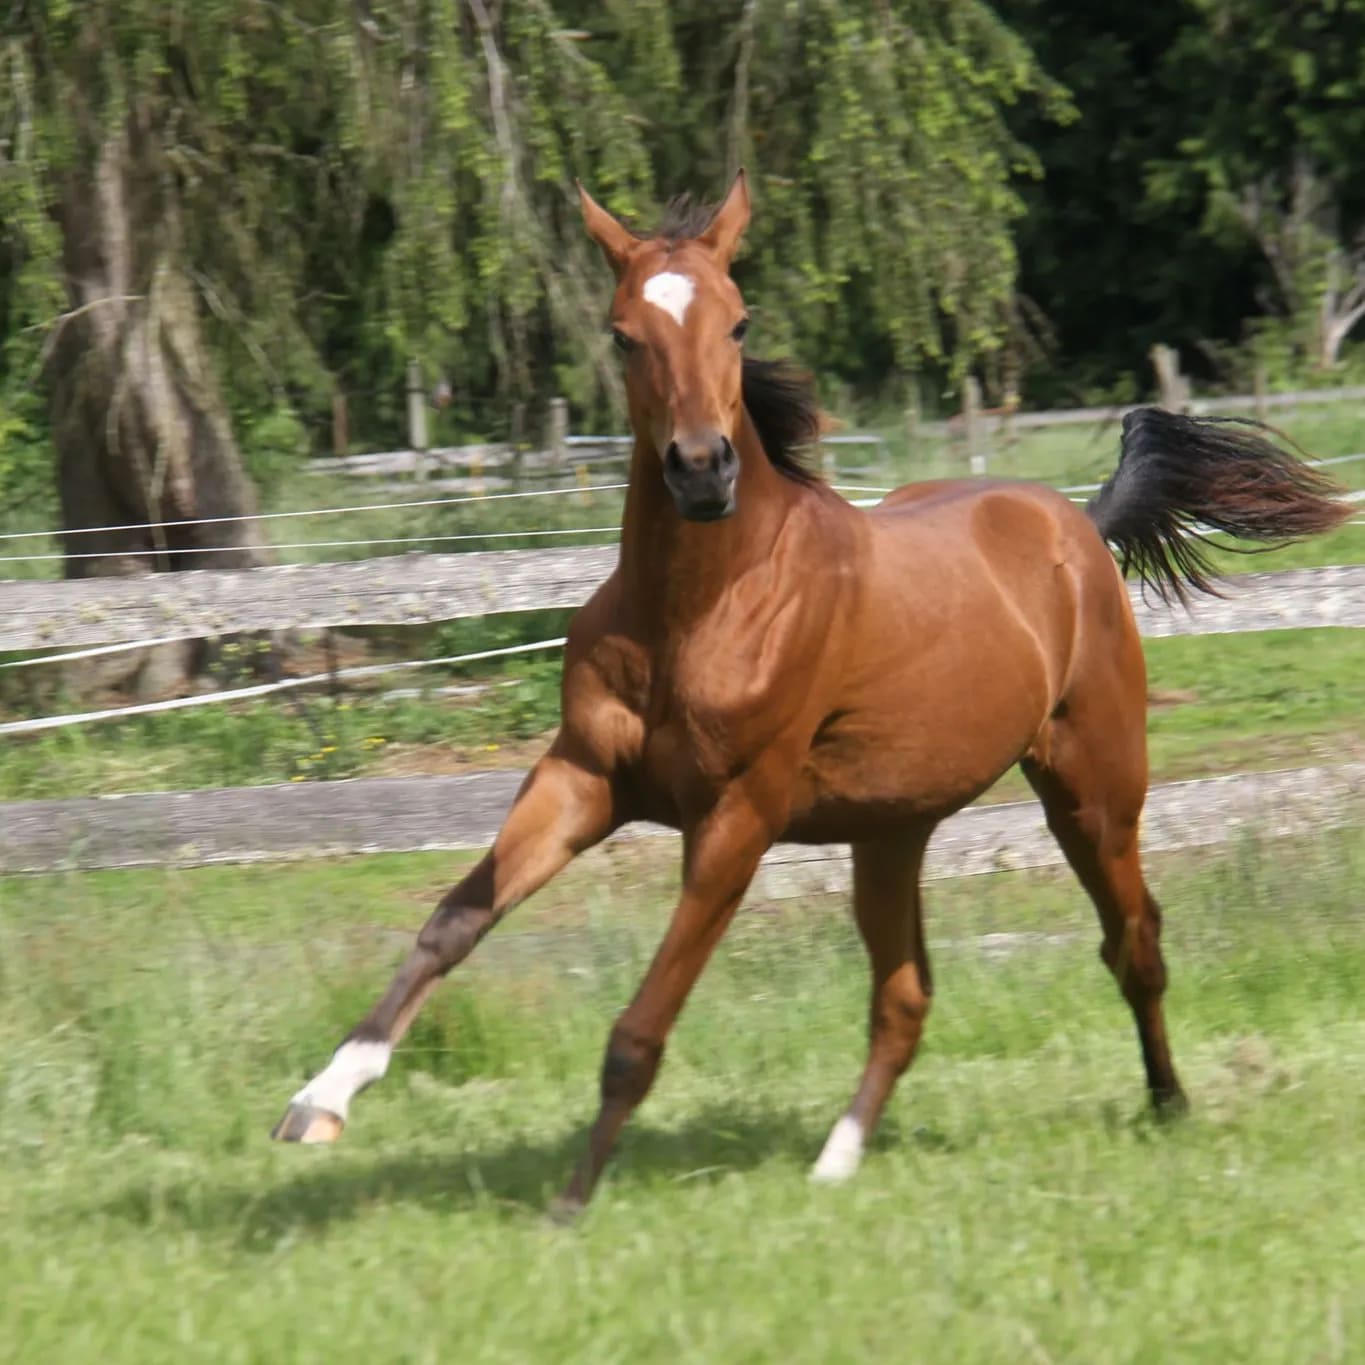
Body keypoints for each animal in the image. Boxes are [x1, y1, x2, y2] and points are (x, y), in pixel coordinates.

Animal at [272, 172, 1350, 1213]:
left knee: (1134, 941)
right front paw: (321, 1099)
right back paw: (835, 1162)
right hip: (891, 831)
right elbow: (452, 922)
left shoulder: (735, 819)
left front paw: (569, 1204)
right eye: (623, 333)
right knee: (905, 996)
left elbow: (639, 1028)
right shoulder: (582, 780)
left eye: (738, 322)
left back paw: (1168, 1106)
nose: (700, 472)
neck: (700, 606)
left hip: (1093, 787)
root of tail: (1076, 522)